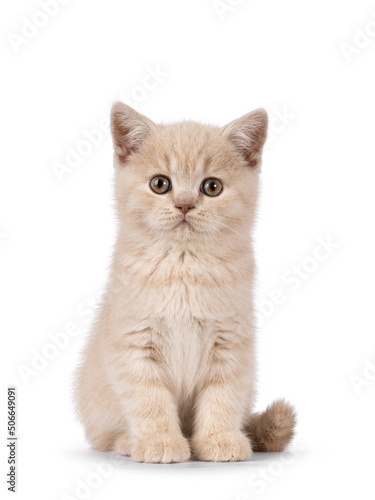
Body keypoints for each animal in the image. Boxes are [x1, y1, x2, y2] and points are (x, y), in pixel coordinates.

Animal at [73, 102, 296, 464]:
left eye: (212, 187)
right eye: (160, 184)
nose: (185, 204)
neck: (183, 264)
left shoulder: (230, 344)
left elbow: (223, 397)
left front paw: (220, 440)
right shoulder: (135, 344)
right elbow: (149, 401)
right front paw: (160, 442)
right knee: (104, 438)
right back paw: (127, 442)